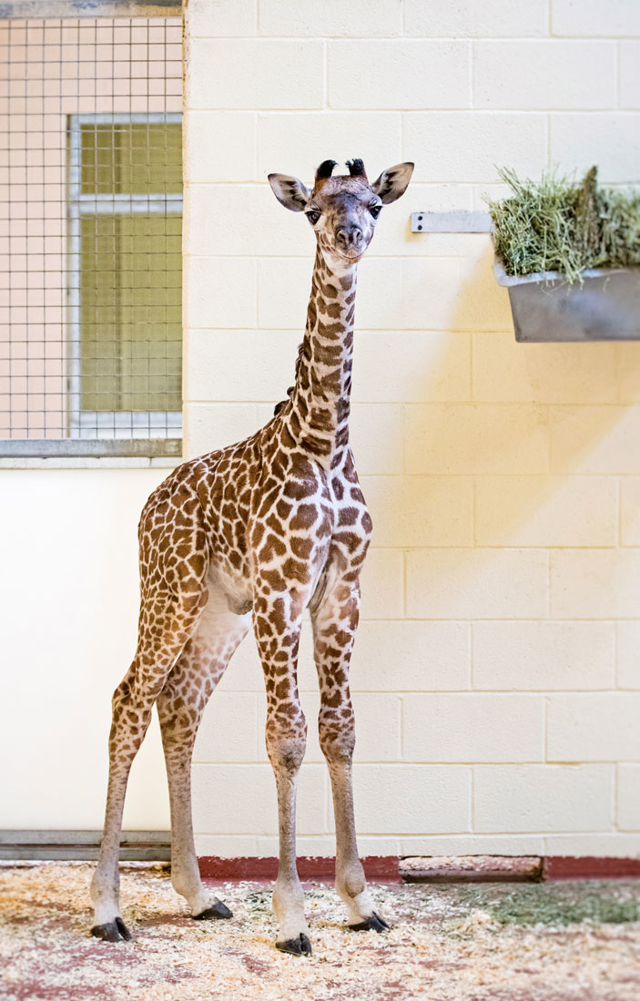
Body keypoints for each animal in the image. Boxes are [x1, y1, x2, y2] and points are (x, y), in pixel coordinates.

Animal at [90, 157, 414, 956]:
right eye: (314, 211)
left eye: (372, 204)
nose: (350, 236)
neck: (323, 442)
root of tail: (149, 506)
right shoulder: (282, 591)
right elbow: (287, 737)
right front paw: (294, 915)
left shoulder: (340, 593)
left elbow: (340, 729)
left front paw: (359, 901)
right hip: (171, 594)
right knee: (130, 699)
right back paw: (107, 907)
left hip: (218, 616)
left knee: (179, 705)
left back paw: (198, 892)